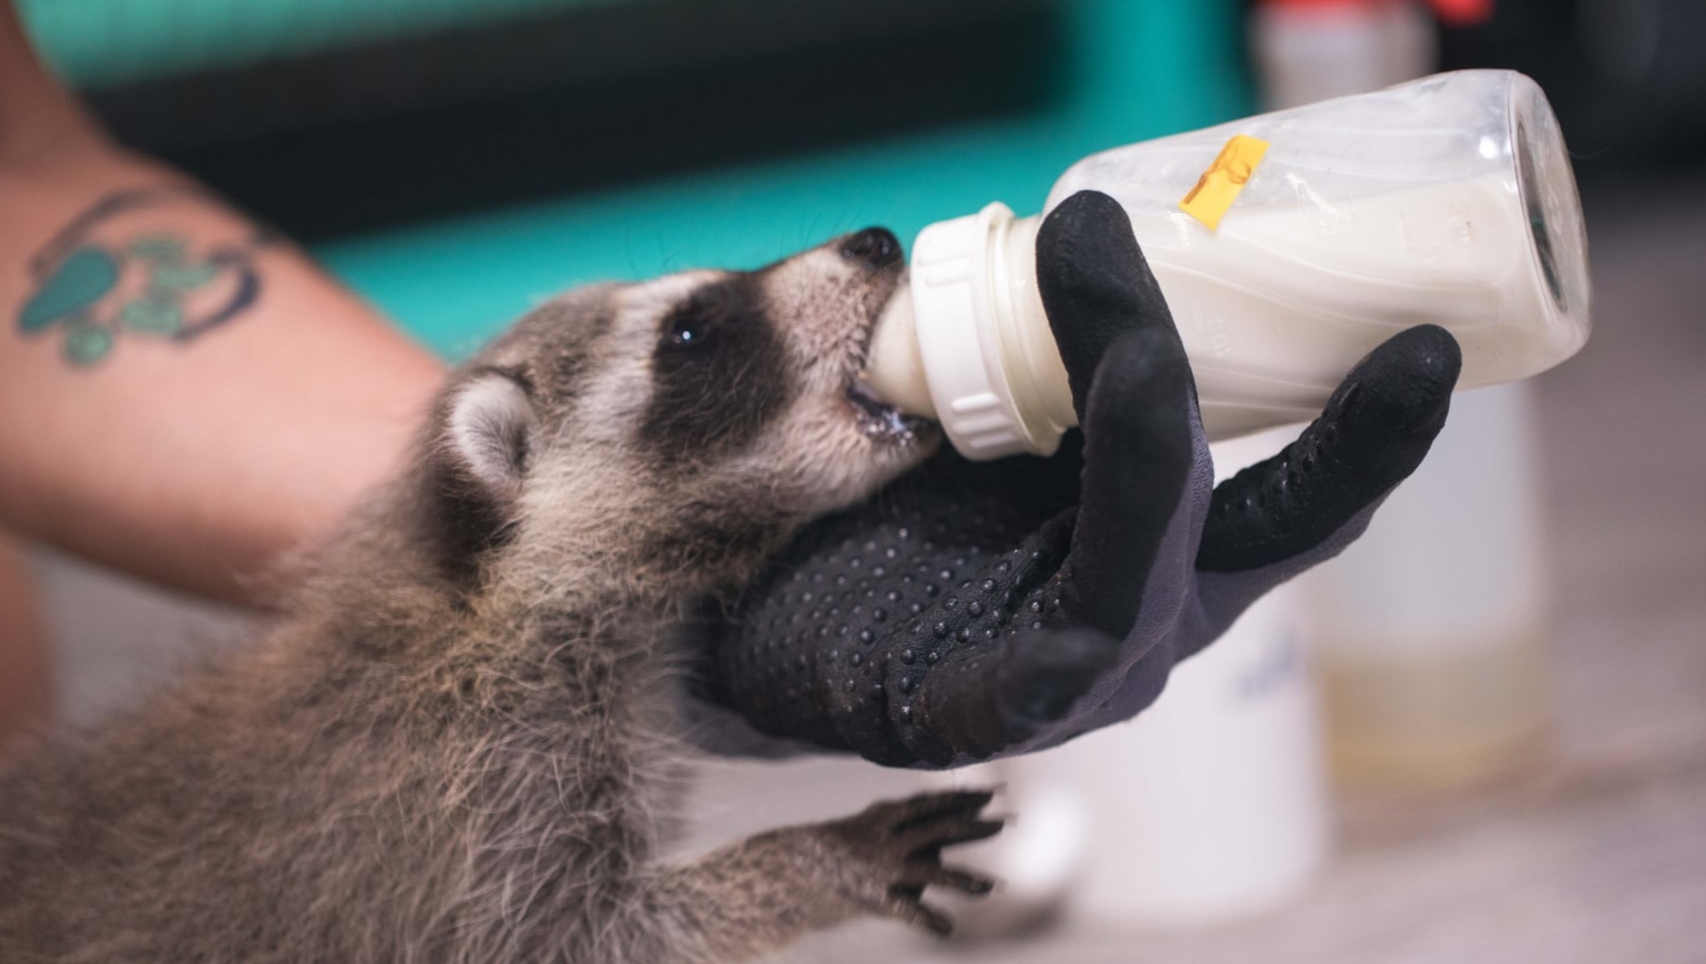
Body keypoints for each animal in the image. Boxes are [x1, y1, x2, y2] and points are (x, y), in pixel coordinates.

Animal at [0, 228, 1002, 963]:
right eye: (689, 333)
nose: (875, 239)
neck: (496, 603)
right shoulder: (472, 795)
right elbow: (575, 935)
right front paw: (802, 864)